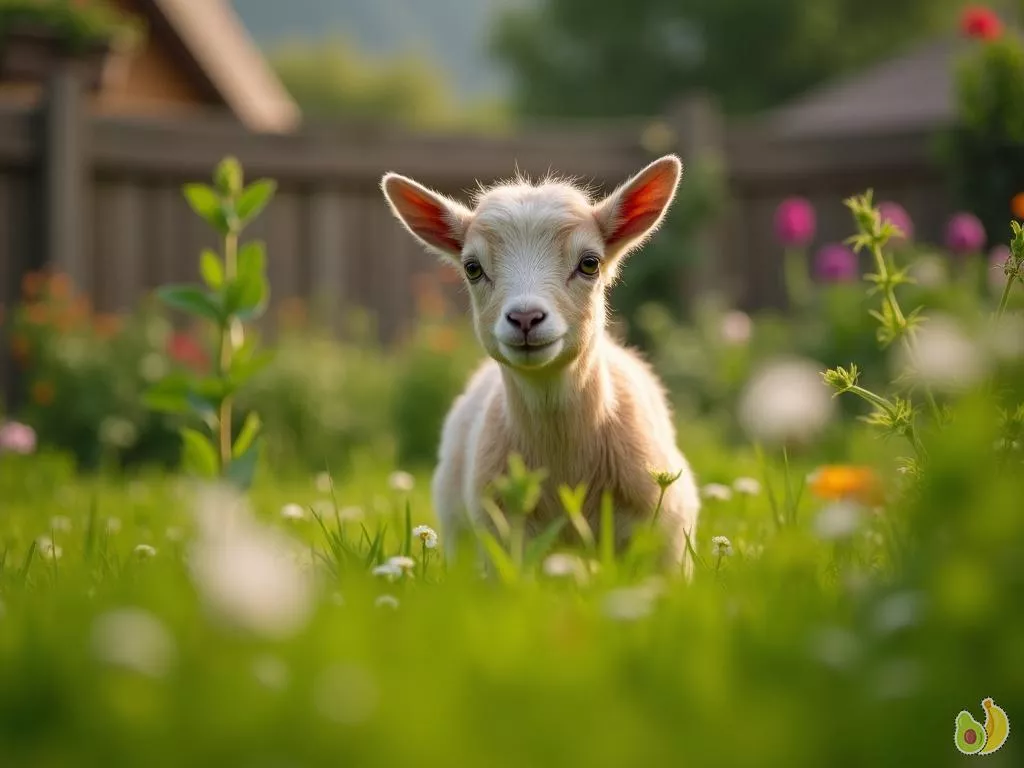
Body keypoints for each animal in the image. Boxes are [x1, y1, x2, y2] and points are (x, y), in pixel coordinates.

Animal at [381, 155, 700, 570]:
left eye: (590, 263)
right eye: (472, 268)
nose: (525, 318)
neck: (562, 455)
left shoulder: (664, 540)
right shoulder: (501, 543)